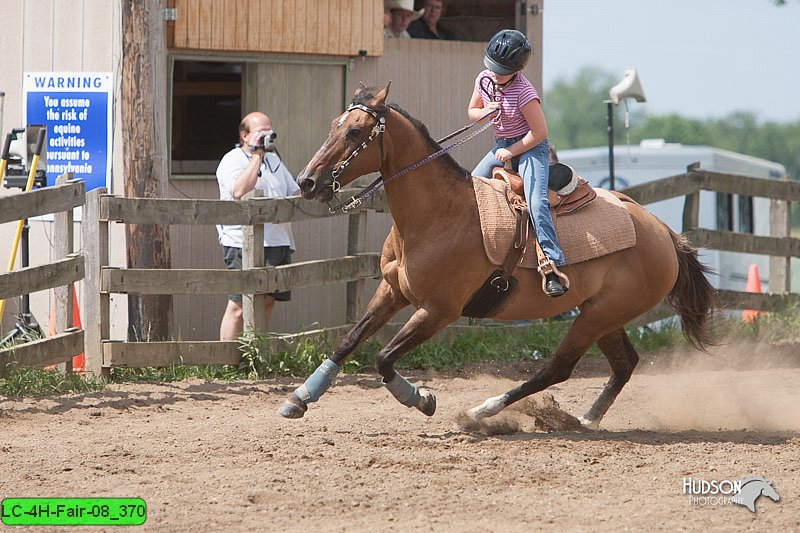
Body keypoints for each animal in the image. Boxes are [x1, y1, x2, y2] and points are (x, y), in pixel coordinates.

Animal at [278, 83, 716, 428]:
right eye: (334, 126)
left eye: (355, 131)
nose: (307, 181)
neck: (437, 215)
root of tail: (664, 233)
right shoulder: (392, 292)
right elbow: (348, 341)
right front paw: (299, 398)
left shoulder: (438, 311)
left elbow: (384, 358)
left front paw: (422, 399)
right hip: (603, 315)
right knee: (624, 363)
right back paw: (586, 418)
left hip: (598, 316)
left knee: (558, 368)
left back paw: (481, 411)